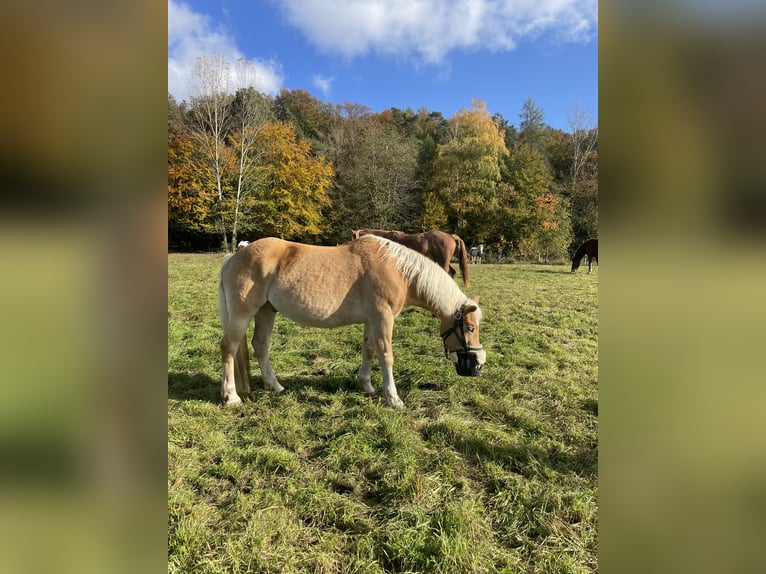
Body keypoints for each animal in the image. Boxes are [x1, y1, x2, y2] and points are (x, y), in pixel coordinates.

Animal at [216, 236, 486, 412]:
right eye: (470, 328)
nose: (477, 366)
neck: (398, 270)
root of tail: (235, 256)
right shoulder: (383, 317)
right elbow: (386, 355)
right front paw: (394, 399)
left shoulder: (372, 319)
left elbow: (369, 350)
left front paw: (366, 385)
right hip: (242, 315)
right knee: (228, 348)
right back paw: (231, 396)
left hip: (266, 312)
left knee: (260, 346)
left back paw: (274, 386)